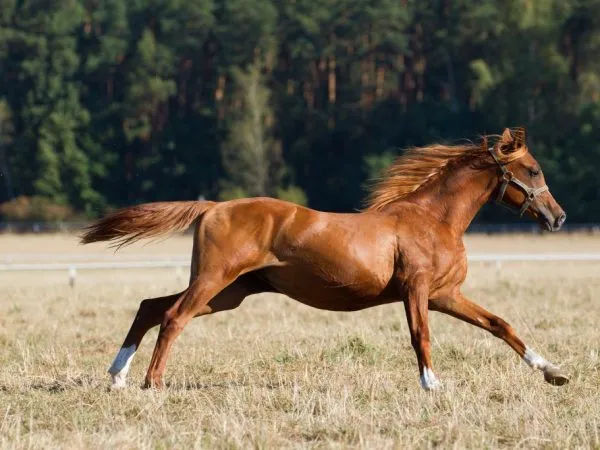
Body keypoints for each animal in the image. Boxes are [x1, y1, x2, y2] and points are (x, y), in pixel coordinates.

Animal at [82, 127, 568, 390]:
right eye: (533, 169)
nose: (558, 217)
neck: (432, 219)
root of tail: (214, 206)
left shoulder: (444, 294)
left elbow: (500, 325)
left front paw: (552, 372)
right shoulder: (417, 290)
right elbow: (421, 337)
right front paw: (432, 385)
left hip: (230, 292)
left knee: (151, 307)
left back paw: (118, 376)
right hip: (214, 280)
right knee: (172, 317)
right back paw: (152, 382)